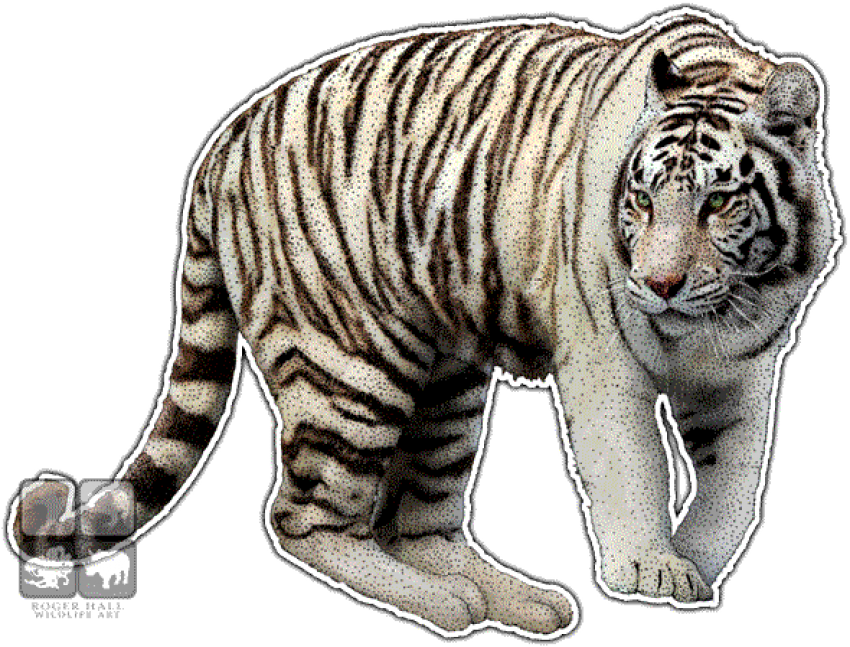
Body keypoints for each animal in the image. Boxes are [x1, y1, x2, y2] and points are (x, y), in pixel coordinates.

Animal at [9, 7, 841, 638]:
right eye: (641, 200)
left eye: (717, 202)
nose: (659, 284)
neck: (723, 311)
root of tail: (225, 139)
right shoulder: (604, 361)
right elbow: (632, 466)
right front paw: (651, 566)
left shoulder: (746, 374)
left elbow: (735, 483)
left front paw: (697, 561)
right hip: (349, 368)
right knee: (304, 516)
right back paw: (439, 602)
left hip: (449, 378)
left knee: (417, 520)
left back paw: (514, 598)